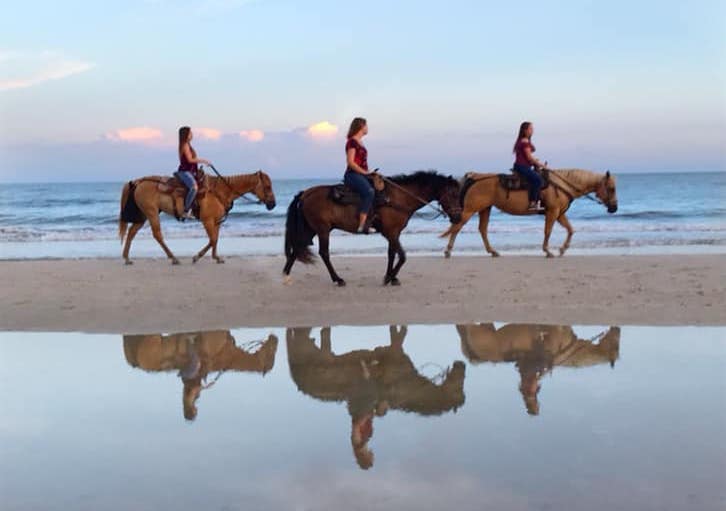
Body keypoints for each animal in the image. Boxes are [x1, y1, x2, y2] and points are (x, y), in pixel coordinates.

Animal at [119, 173, 278, 268]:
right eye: (268, 186)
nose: (273, 204)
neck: (220, 191)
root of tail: (139, 182)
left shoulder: (216, 222)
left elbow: (215, 239)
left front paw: (216, 257)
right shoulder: (207, 221)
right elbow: (212, 239)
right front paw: (197, 257)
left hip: (144, 216)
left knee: (131, 232)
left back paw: (126, 258)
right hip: (151, 213)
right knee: (157, 235)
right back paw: (173, 258)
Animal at [282, 170, 460, 286]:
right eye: (452, 194)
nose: (458, 217)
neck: (398, 198)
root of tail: (306, 193)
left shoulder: (393, 234)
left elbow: (391, 254)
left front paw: (391, 277)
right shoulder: (392, 233)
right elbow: (402, 256)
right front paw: (389, 278)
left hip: (311, 229)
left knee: (297, 249)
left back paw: (286, 275)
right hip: (322, 229)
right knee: (323, 253)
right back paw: (337, 279)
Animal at [444, 169, 620, 258]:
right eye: (612, 188)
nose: (614, 208)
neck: (562, 184)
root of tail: (474, 176)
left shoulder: (559, 214)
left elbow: (570, 230)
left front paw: (563, 249)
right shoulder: (553, 212)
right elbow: (548, 231)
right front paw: (548, 251)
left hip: (485, 209)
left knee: (482, 229)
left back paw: (493, 251)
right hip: (470, 210)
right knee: (457, 226)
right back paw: (448, 251)